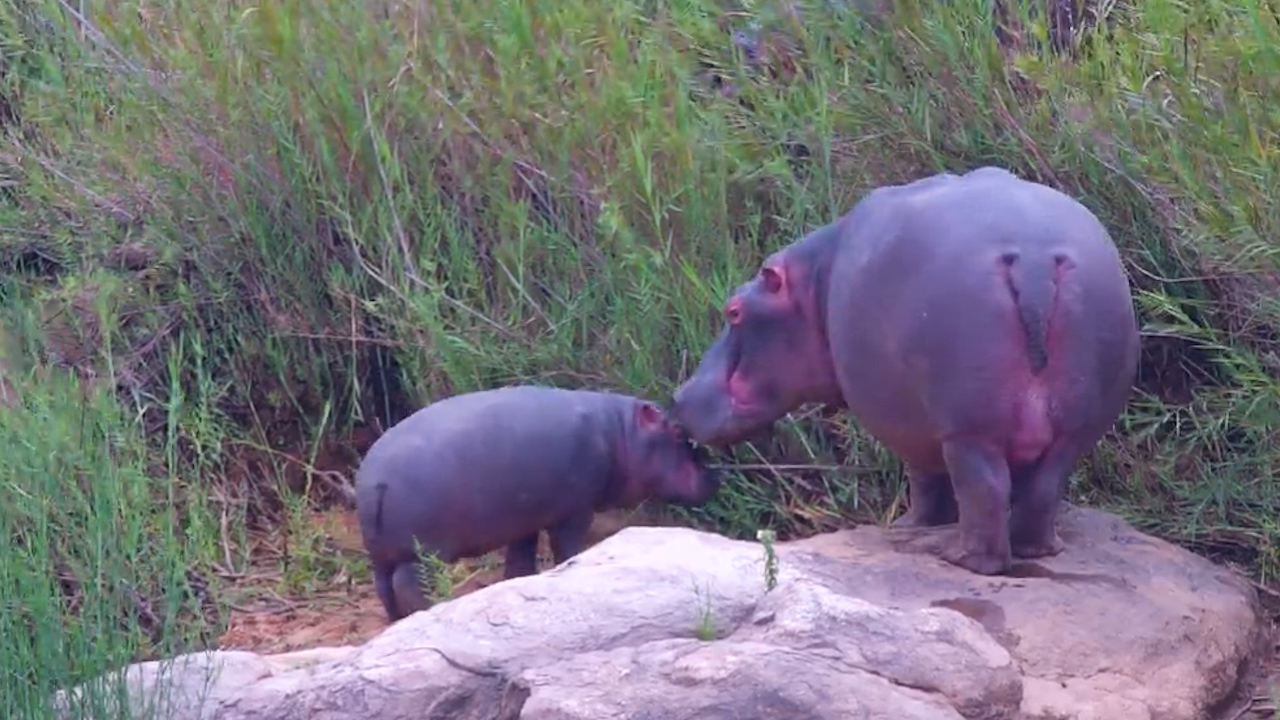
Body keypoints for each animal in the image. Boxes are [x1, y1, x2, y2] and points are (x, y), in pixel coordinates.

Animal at [354, 385, 721, 622]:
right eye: (677, 434)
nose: (716, 475)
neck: (621, 431)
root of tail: (374, 480)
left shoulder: (524, 519)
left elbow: (519, 561)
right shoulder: (575, 510)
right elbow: (567, 547)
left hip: (381, 554)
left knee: (384, 586)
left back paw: (396, 619)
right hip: (424, 551)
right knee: (408, 583)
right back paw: (428, 609)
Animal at [670, 166, 1140, 576]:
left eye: (733, 310)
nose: (677, 396)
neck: (813, 284)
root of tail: (1035, 260)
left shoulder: (906, 420)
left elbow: (924, 477)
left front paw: (907, 529)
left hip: (969, 428)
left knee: (984, 490)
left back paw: (962, 560)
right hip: (1073, 425)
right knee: (1044, 485)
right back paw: (1038, 550)